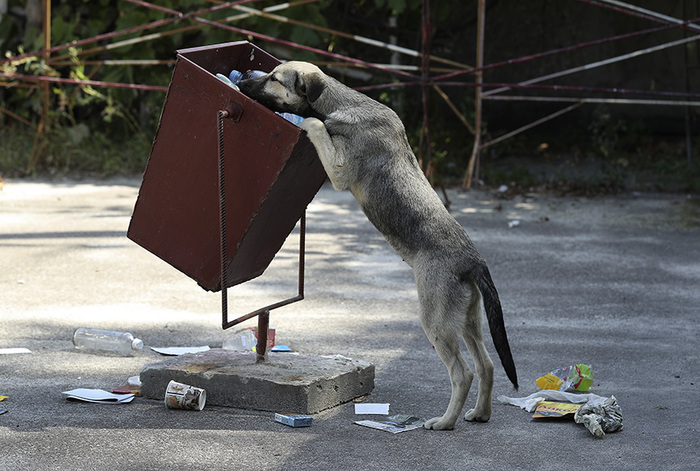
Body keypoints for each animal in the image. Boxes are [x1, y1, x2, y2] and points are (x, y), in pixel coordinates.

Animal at [238, 62, 516, 432]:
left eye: (274, 79)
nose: (242, 79)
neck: (341, 103)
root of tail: (473, 261)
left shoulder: (339, 171)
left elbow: (316, 125)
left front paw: (307, 122)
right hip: (468, 319)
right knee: (486, 365)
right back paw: (480, 413)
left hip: (436, 321)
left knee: (463, 373)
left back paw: (444, 422)